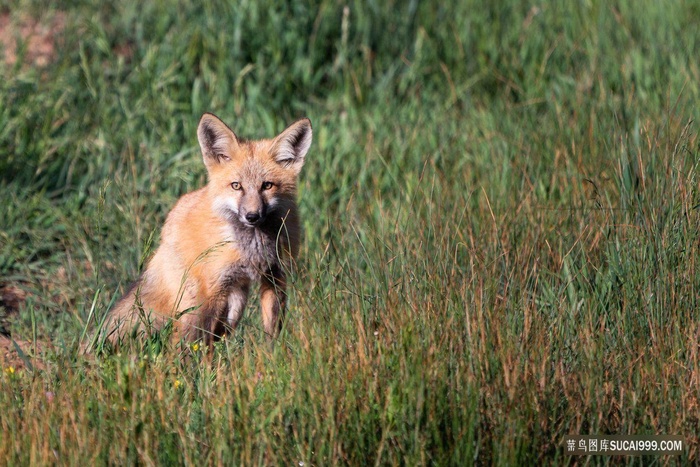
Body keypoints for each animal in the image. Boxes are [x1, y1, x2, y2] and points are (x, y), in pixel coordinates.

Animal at [104, 113, 312, 348]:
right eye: (236, 186)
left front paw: (273, 354)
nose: (252, 216)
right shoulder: (215, 289)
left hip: (235, 303)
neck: (253, 248)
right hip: (198, 302)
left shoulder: (276, 276)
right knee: (184, 341)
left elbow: (273, 330)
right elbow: (203, 342)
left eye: (267, 186)